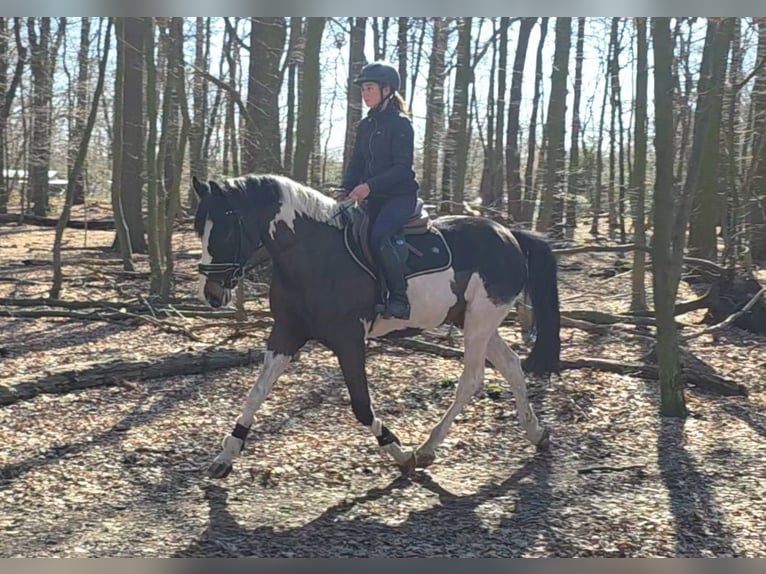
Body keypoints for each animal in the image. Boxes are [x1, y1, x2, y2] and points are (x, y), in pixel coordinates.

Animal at [192, 173, 561, 479]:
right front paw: (226, 455)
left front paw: (400, 454)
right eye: (199, 230)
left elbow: (361, 405)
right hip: (475, 322)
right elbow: (256, 393)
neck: (315, 256)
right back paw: (537, 433)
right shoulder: (286, 333)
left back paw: (427, 449)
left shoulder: (349, 339)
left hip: (480, 322)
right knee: (511, 366)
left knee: (471, 380)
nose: (212, 294)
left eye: (226, 230)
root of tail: (508, 234)